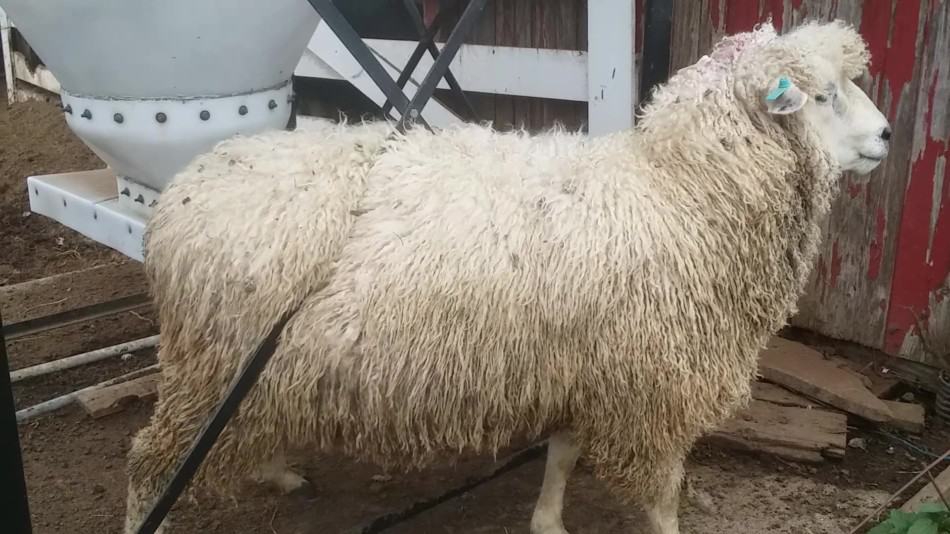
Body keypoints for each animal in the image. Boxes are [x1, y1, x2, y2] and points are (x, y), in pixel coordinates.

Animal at [124, 19, 892, 534]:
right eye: (823, 96)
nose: (887, 136)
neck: (679, 191)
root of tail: (179, 195)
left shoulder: (584, 367)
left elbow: (562, 453)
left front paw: (547, 518)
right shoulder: (650, 390)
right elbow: (662, 494)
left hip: (252, 368)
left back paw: (279, 468)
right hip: (211, 366)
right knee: (148, 464)